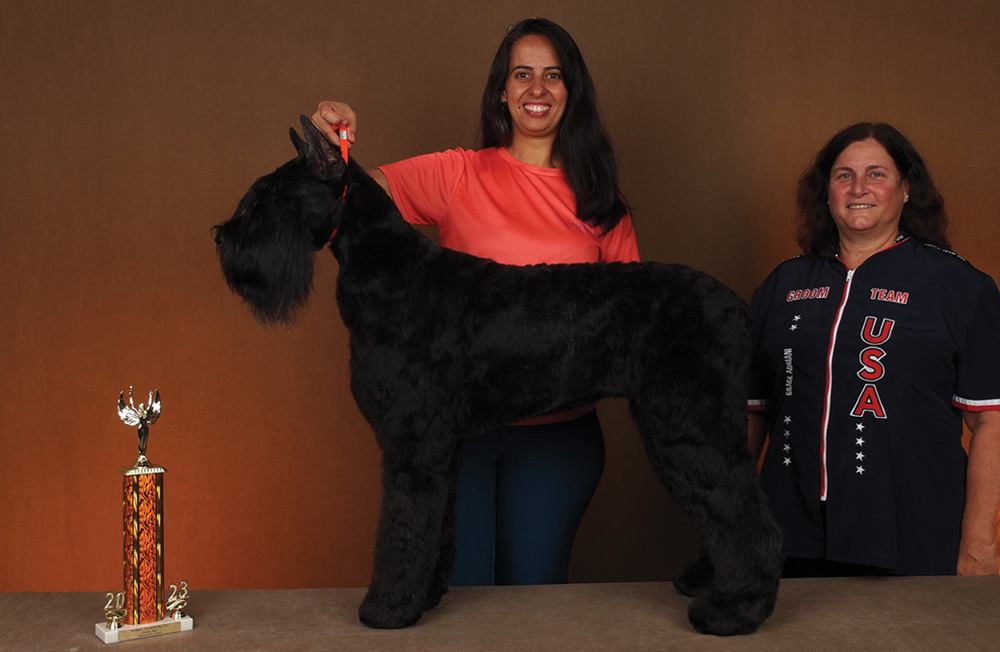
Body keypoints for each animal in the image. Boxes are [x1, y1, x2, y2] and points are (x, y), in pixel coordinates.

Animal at [215, 116, 784, 632]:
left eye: (269, 198)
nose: (222, 237)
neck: (393, 271)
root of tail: (735, 306)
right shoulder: (440, 447)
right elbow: (436, 523)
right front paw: (425, 596)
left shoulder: (411, 441)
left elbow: (402, 526)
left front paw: (388, 608)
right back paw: (707, 581)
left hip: (689, 425)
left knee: (746, 514)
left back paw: (735, 609)